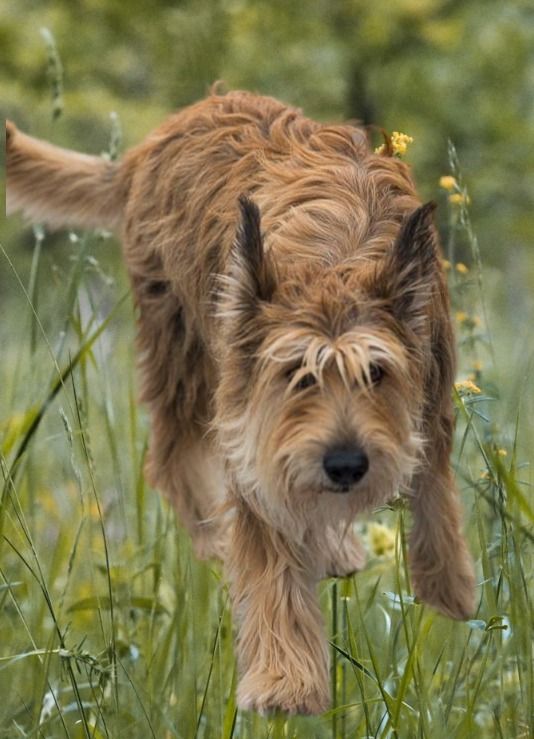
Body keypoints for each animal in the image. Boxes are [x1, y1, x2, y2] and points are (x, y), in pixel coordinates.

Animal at [5, 89, 478, 712]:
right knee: (173, 456)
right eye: (295, 374)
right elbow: (269, 554)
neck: (336, 256)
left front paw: (450, 591)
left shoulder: (431, 393)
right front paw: (287, 682)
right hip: (179, 343)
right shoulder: (251, 428)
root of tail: (154, 142)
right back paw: (219, 535)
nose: (346, 465)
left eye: (376, 373)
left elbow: (434, 488)